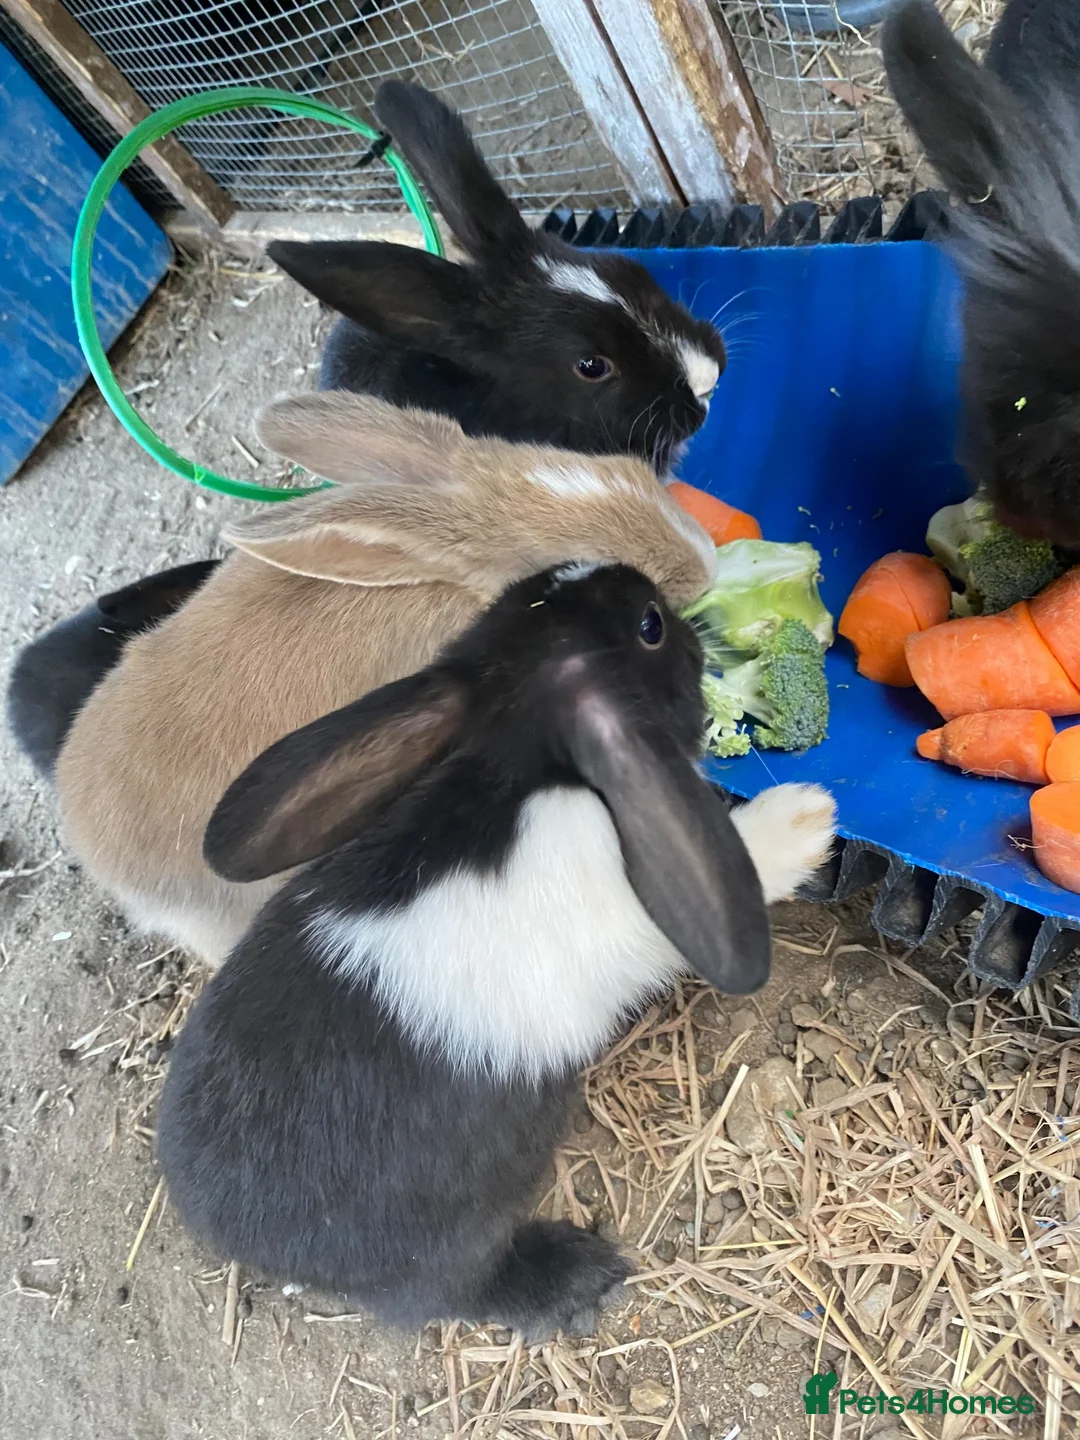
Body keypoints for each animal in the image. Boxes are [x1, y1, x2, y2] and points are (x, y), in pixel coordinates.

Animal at [157, 559, 837, 1336]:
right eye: (650, 627)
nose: (687, 622)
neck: (523, 775)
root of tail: (232, 1231)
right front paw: (807, 821)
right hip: (453, 1243)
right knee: (453, 1291)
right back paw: (577, 1273)